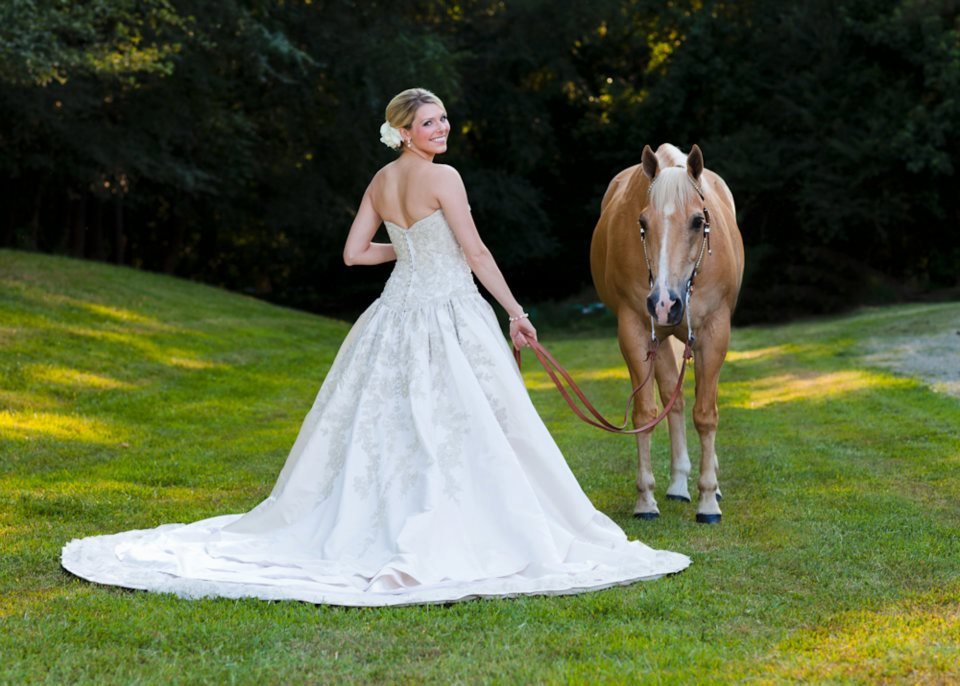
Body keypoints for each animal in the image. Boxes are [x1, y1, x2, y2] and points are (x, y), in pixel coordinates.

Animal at [590, 143, 744, 523]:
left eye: (698, 221)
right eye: (642, 223)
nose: (664, 303)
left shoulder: (714, 334)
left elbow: (706, 414)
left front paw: (708, 501)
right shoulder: (636, 331)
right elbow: (646, 415)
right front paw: (646, 499)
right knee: (673, 402)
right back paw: (677, 485)